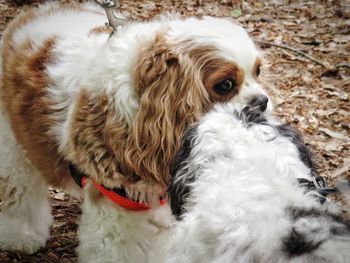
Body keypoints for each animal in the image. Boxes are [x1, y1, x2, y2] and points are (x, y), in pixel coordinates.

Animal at [0, 1, 270, 262]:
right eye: (225, 85)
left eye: (257, 72)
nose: (262, 101)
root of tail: (32, 14)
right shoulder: (114, 204)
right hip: (11, 143)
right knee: (18, 189)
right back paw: (20, 236)